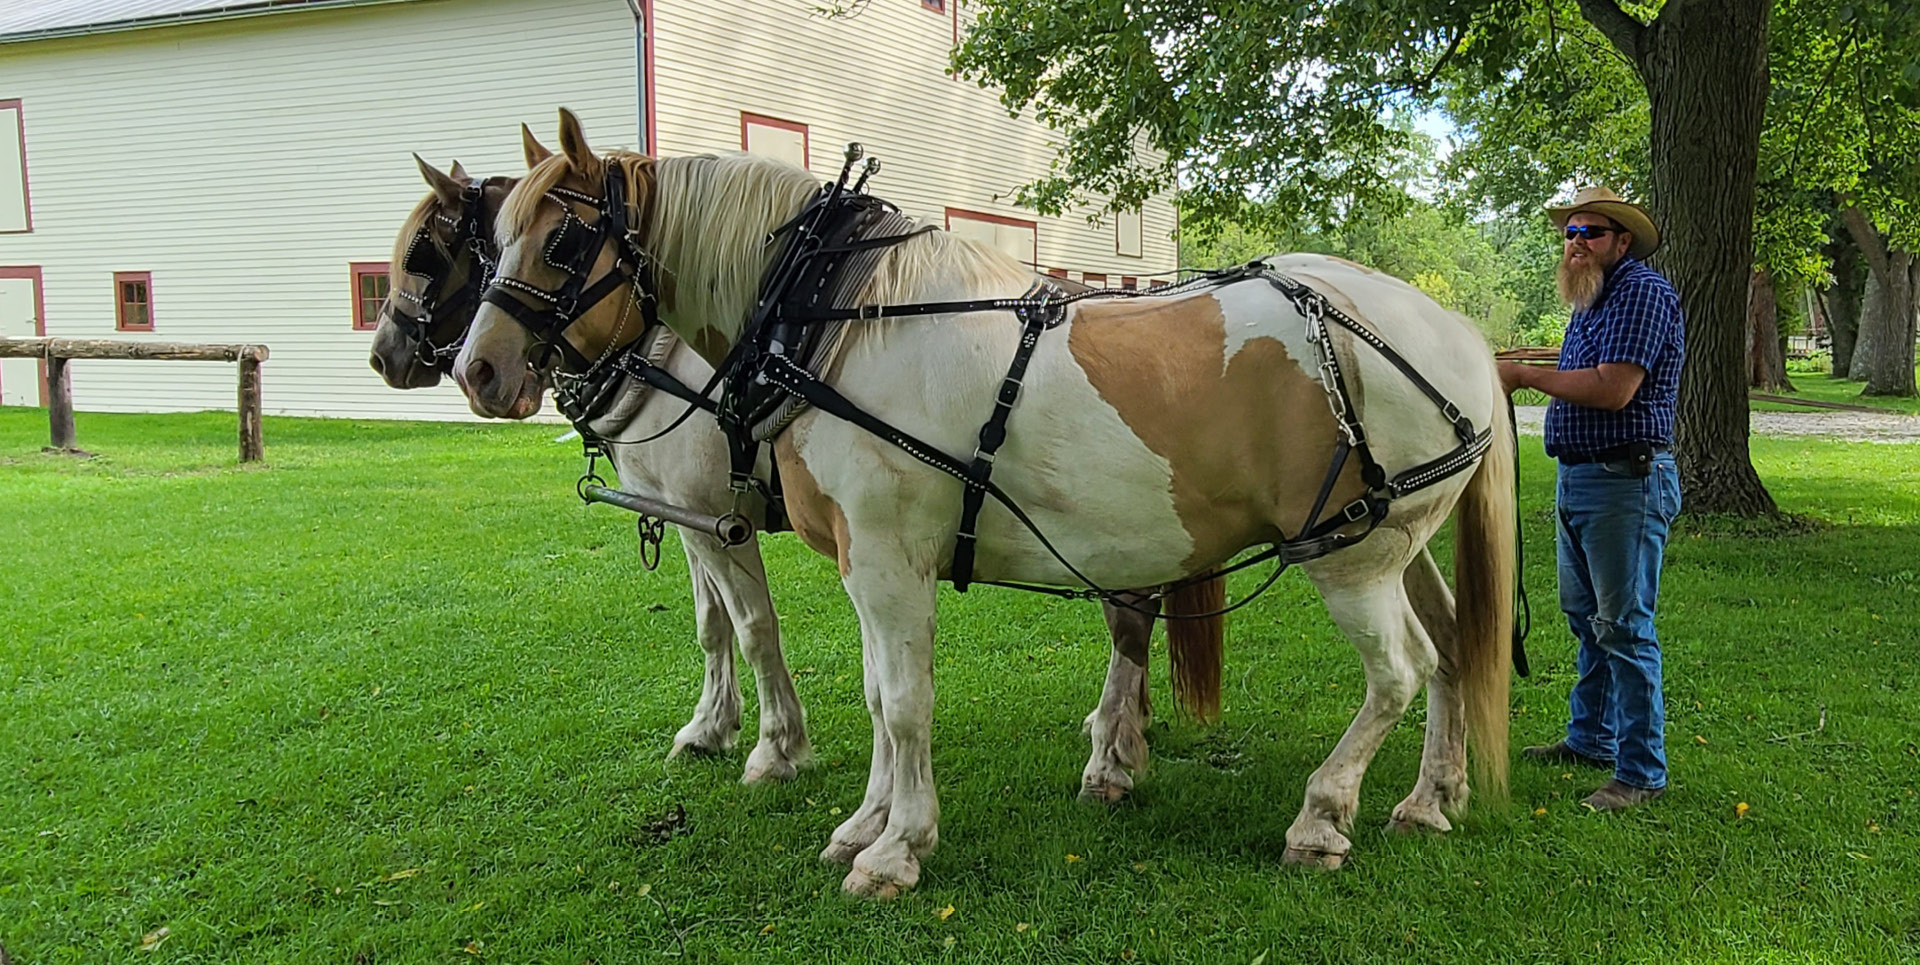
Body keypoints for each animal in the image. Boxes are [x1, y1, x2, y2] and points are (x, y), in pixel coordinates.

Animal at [453, 111, 1512, 897]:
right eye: (492, 239)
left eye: (566, 239)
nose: (478, 369)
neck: (844, 316)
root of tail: (1454, 330)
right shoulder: (864, 564)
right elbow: (878, 696)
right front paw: (865, 822)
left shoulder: (887, 560)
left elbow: (904, 702)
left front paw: (898, 846)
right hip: (1397, 542)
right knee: (1453, 646)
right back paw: (1432, 797)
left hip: (1349, 558)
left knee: (1398, 673)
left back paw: (1323, 816)